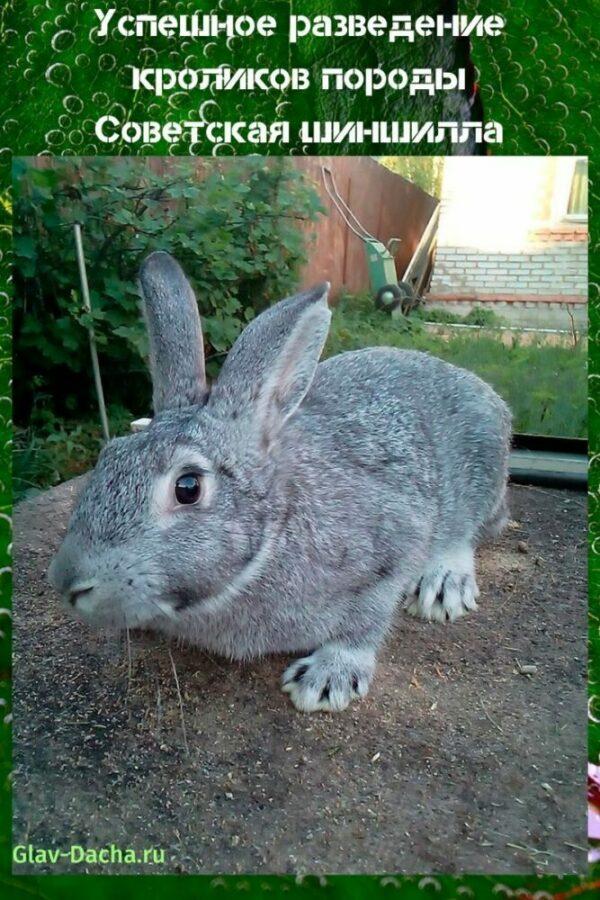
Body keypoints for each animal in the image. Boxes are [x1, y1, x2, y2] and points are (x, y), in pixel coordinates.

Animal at [50, 251, 510, 712]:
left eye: (188, 487)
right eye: (107, 457)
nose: (67, 583)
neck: (274, 536)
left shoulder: (389, 551)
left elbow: (366, 623)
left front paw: (326, 679)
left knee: (464, 533)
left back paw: (444, 586)